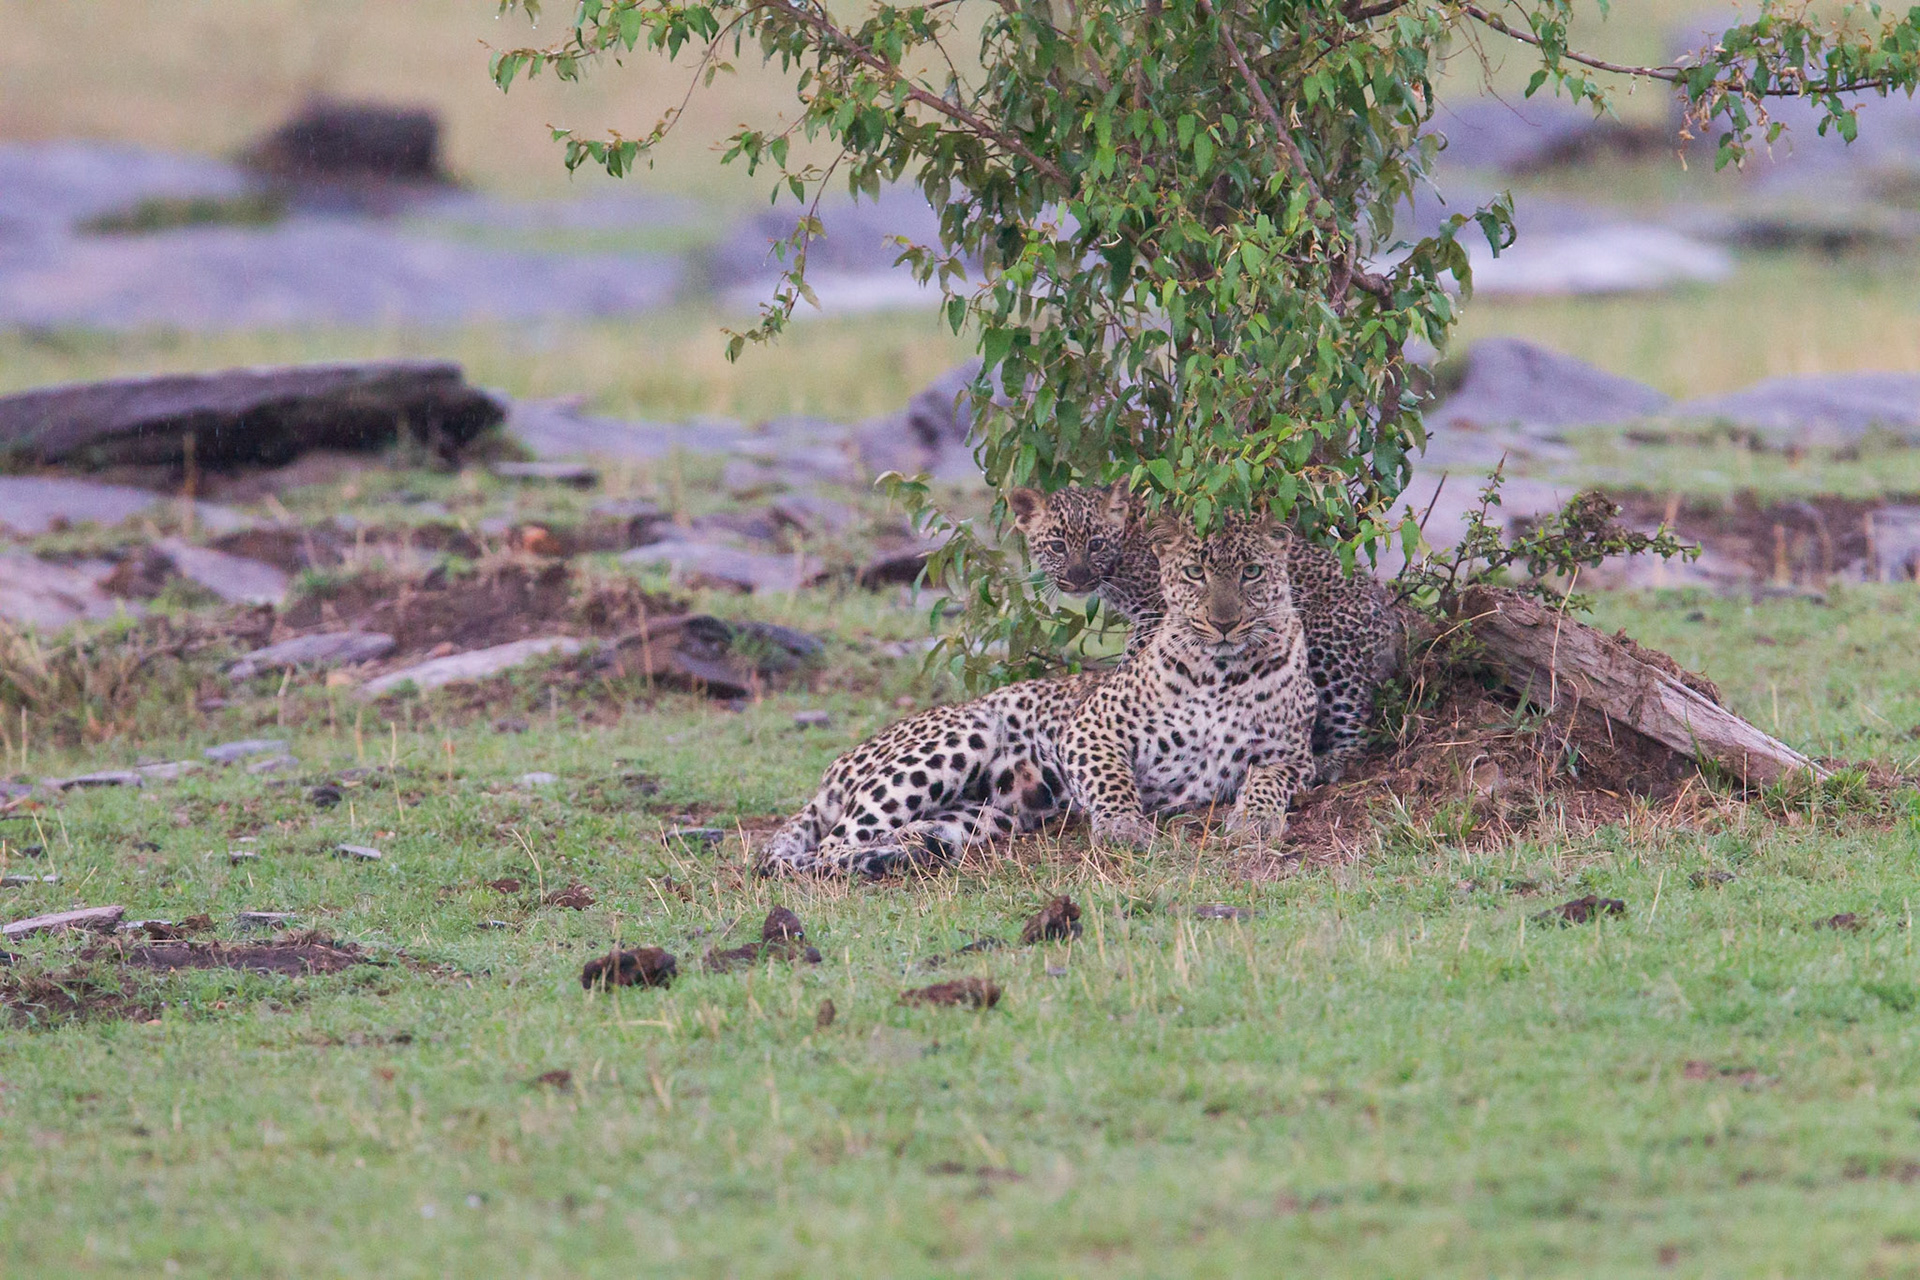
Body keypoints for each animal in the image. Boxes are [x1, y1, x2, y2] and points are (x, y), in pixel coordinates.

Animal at [756, 513, 1316, 876]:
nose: (1224, 623)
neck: (1225, 671)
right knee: (828, 849)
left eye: (1251, 573)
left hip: (983, 814)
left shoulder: (1294, 755)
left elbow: (1268, 782)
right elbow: (1113, 782)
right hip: (963, 733)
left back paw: (909, 852)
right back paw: (878, 861)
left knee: (892, 835)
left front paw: (1255, 821)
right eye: (1194, 573)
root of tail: (834, 770)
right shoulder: (1093, 727)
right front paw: (1124, 829)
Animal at [1008, 483, 1395, 783]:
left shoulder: (1155, 609)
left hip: (1329, 649)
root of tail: (1392, 612)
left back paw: (1333, 762)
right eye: (1057, 546)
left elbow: (1135, 656)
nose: (1078, 578)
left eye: (1096, 544)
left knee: (1357, 720)